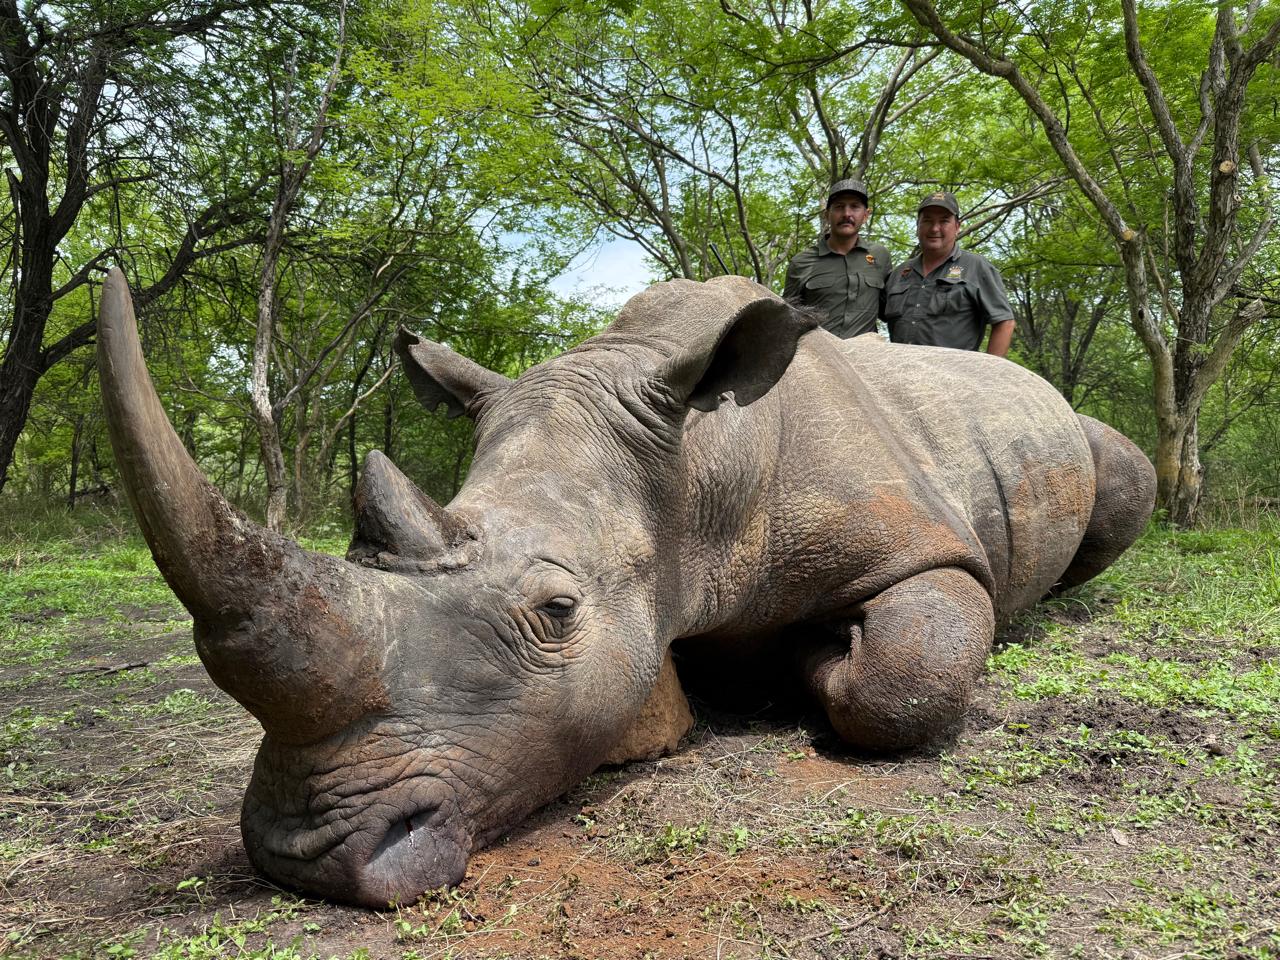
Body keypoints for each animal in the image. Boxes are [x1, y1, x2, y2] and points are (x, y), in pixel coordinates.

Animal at [96, 268, 1155, 907]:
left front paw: (810, 661)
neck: (696, 467)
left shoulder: (930, 546)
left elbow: (904, 679)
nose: (302, 858)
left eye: (557, 613)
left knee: (1126, 477)